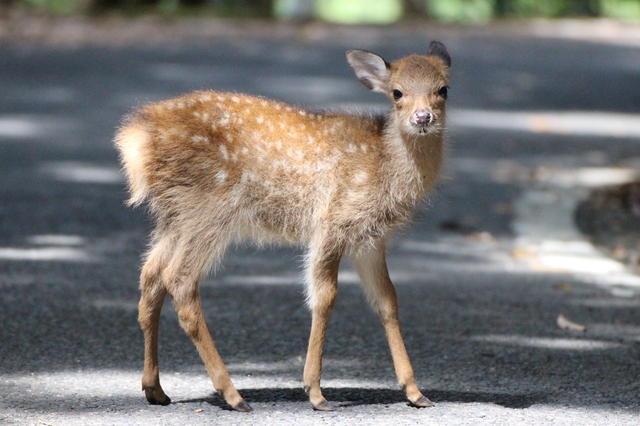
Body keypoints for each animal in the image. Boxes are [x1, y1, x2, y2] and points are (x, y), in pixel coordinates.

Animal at [116, 40, 450, 412]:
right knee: (179, 281)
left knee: (150, 277)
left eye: (443, 89)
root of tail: (135, 140)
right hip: (208, 209)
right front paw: (315, 392)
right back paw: (233, 395)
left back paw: (155, 389)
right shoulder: (333, 221)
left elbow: (387, 300)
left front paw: (415, 392)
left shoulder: (370, 239)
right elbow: (325, 297)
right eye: (397, 92)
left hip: (173, 216)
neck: (383, 165)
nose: (423, 117)